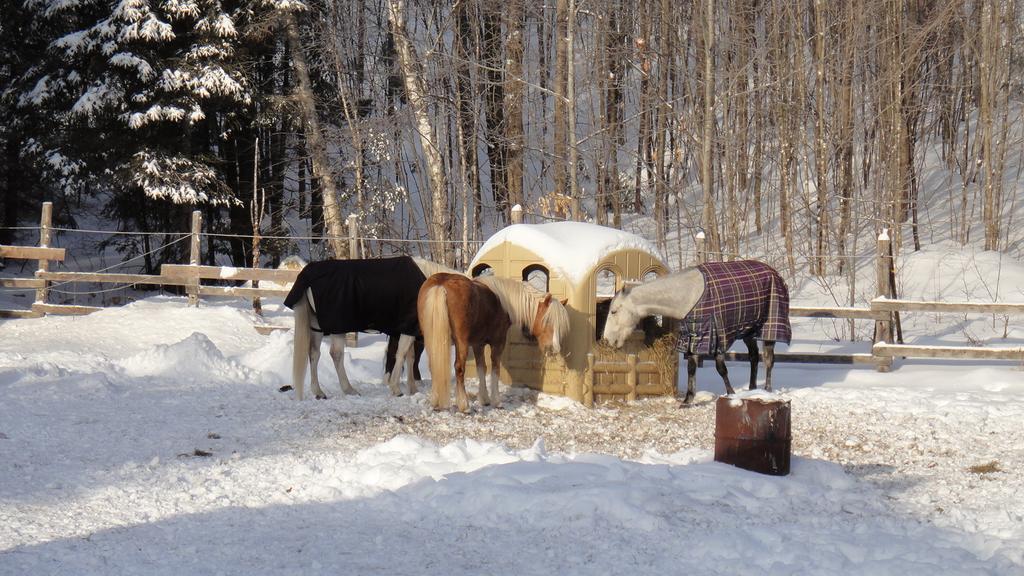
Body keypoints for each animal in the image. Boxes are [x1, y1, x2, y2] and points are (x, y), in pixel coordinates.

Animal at [282, 255, 454, 399]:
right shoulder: (408, 327)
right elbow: (401, 354)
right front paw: (396, 389)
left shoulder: (409, 329)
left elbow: (410, 358)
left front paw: (413, 389)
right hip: (337, 327)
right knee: (336, 354)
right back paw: (349, 389)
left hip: (316, 326)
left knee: (314, 354)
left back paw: (318, 391)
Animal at [419, 274, 573, 412]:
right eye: (547, 321)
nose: (554, 348)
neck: (503, 303)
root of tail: (441, 284)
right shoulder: (498, 343)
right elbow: (495, 369)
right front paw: (496, 401)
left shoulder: (478, 344)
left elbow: (481, 368)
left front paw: (484, 399)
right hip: (460, 343)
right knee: (459, 368)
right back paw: (464, 405)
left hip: (431, 341)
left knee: (433, 366)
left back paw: (435, 402)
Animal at [598, 258, 790, 401]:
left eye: (613, 311)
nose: (606, 340)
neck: (688, 295)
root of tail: (776, 273)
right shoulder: (693, 335)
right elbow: (691, 367)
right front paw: (688, 400)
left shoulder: (714, 335)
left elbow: (721, 368)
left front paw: (731, 394)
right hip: (748, 331)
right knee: (754, 357)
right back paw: (752, 389)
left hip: (770, 327)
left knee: (768, 359)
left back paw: (767, 390)